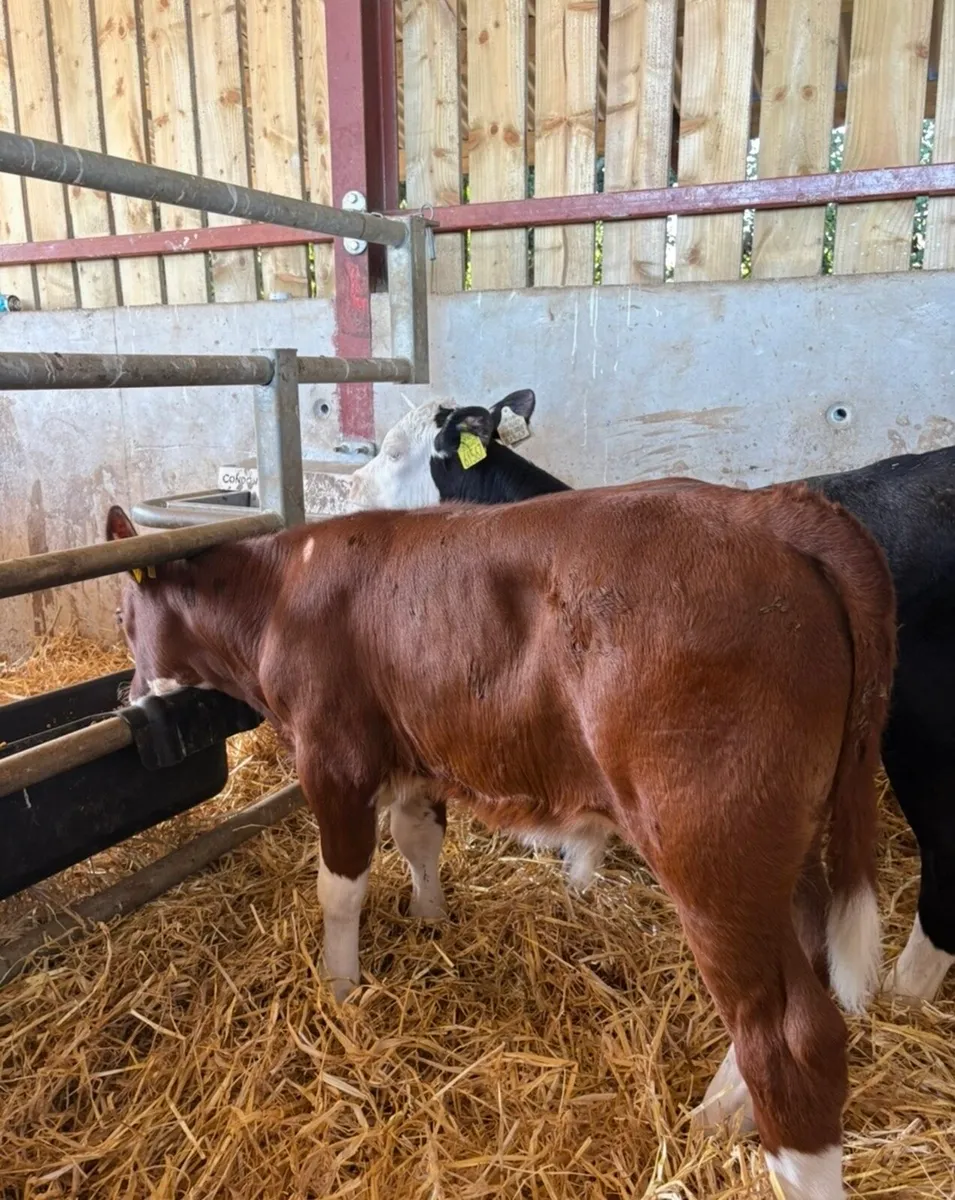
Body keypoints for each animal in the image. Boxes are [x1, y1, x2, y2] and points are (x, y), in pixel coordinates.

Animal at [106, 478, 896, 1200]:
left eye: (121, 616)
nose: (129, 696)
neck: (279, 594)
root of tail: (768, 509)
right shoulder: (415, 754)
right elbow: (418, 838)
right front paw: (430, 918)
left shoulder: (332, 755)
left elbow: (340, 888)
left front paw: (340, 988)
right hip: (786, 842)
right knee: (800, 959)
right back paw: (719, 1111)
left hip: (712, 848)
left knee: (791, 1036)